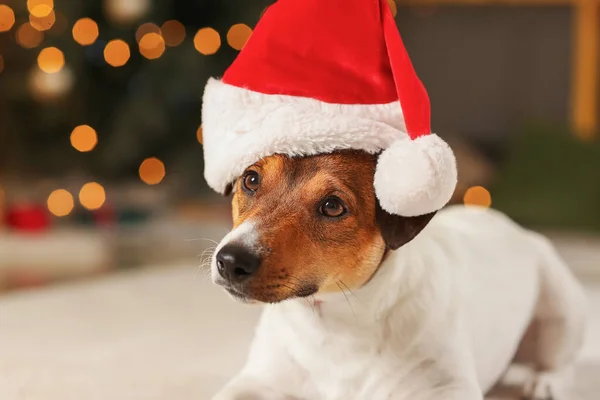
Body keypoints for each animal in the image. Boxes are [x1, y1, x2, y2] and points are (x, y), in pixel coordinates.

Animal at [210, 151, 584, 400]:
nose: (230, 260)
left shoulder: (447, 388)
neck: (334, 326)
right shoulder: (258, 380)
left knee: (562, 362)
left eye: (332, 206)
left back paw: (546, 384)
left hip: (560, 314)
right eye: (251, 180)